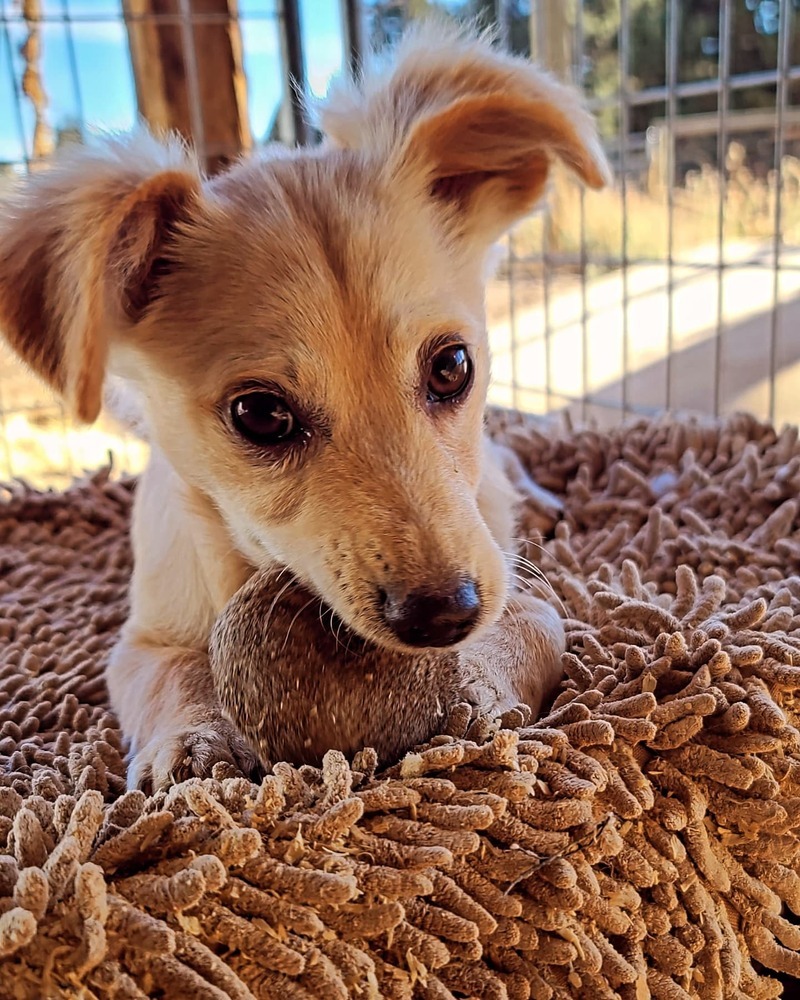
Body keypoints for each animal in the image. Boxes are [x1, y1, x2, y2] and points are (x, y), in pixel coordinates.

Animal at [0, 21, 608, 788]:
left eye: (451, 367)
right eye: (260, 415)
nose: (446, 617)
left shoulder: (532, 600)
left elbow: (528, 630)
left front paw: (474, 682)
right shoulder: (139, 640)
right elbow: (168, 674)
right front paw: (190, 739)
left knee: (508, 466)